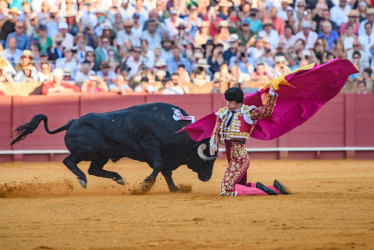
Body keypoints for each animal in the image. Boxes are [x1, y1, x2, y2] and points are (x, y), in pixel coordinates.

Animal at [10, 102, 218, 192]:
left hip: (101, 155)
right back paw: (82, 180)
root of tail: (72, 123)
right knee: (69, 161)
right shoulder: (152, 148)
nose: (207, 177)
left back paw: (118, 178)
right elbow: (160, 166)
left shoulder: (164, 155)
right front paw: (146, 185)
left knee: (94, 169)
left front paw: (175, 189)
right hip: (85, 151)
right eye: (207, 158)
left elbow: (166, 171)